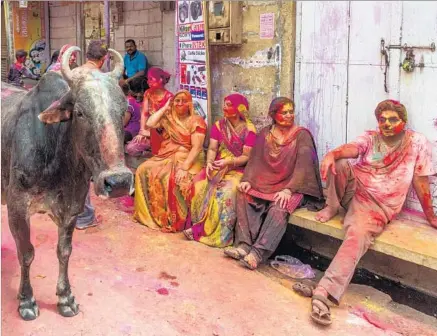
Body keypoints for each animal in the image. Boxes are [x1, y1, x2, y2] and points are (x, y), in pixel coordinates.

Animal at [0, 46, 134, 320]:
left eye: (123, 108)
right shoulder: (17, 207)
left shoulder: (72, 208)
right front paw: (27, 300)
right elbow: (26, 253)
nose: (118, 182)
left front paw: (65, 298)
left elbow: (64, 251)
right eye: (80, 112)